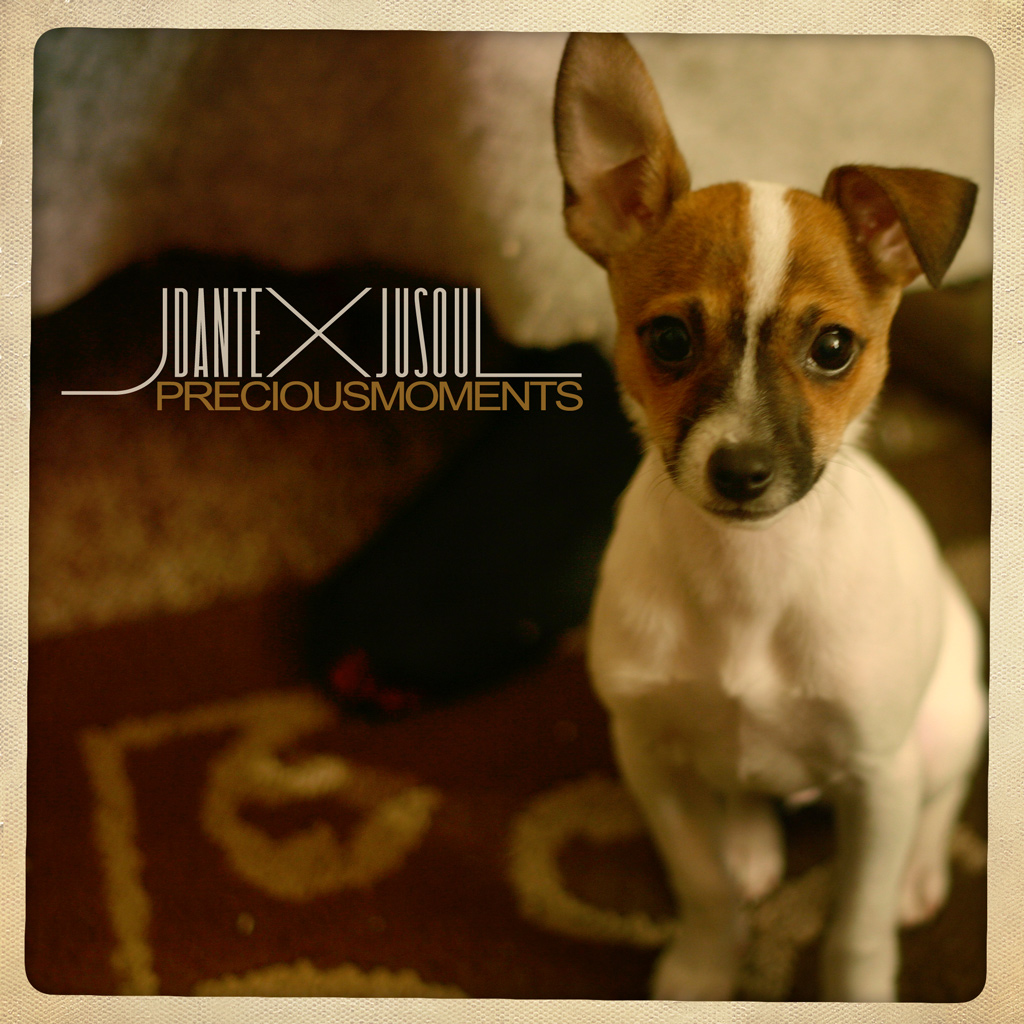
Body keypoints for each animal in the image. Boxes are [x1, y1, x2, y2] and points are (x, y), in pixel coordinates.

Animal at [554, 32, 986, 1002]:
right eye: (668, 339)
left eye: (833, 348)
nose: (742, 471)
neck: (749, 578)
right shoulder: (647, 756)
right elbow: (702, 885)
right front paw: (704, 969)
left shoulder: (877, 779)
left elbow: (856, 926)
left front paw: (861, 991)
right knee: (740, 789)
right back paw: (750, 837)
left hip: (943, 730)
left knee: (942, 796)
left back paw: (923, 873)